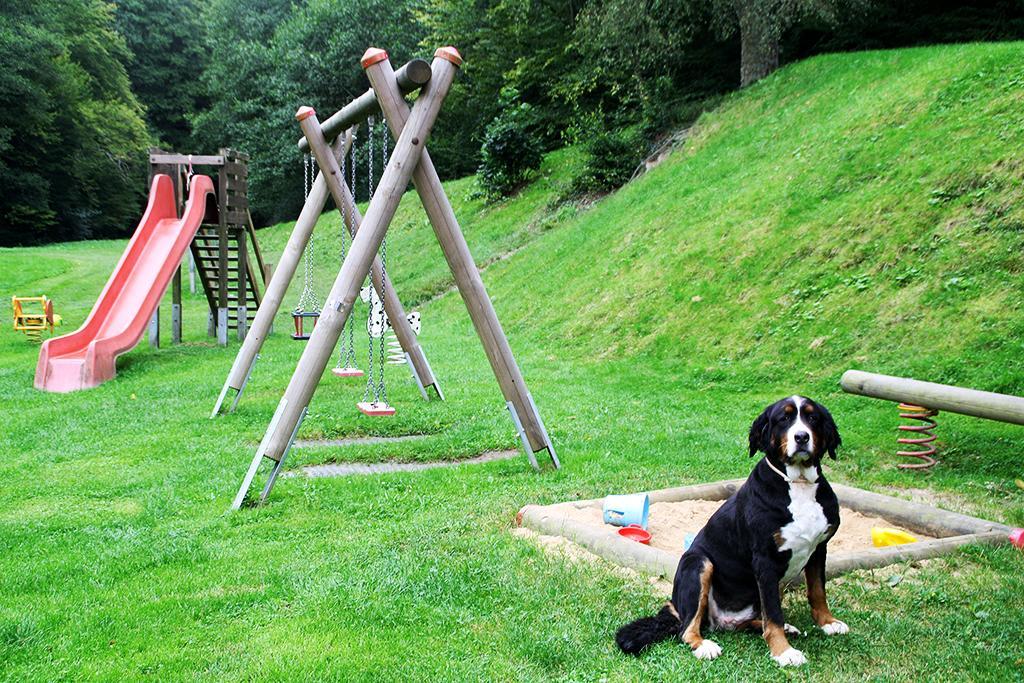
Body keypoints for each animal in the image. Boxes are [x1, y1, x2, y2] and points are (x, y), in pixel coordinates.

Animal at [614, 395, 847, 667]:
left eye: (812, 417)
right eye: (784, 418)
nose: (801, 437)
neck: (798, 484)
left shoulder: (818, 549)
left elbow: (818, 591)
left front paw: (828, 623)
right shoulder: (765, 561)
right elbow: (774, 614)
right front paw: (784, 652)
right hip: (698, 563)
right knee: (687, 628)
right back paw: (704, 646)